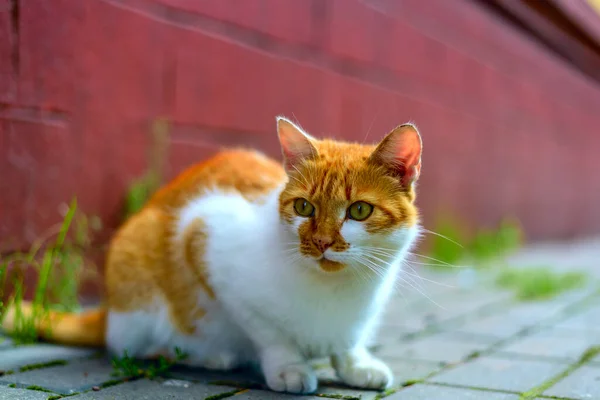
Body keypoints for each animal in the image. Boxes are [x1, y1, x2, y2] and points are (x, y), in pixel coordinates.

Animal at [1, 115, 422, 394]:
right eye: (304, 207)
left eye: (359, 211)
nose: (320, 242)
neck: (333, 290)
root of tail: (108, 312)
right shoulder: (205, 237)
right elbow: (270, 333)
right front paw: (288, 366)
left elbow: (349, 341)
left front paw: (355, 364)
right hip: (138, 276)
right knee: (134, 345)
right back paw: (208, 355)